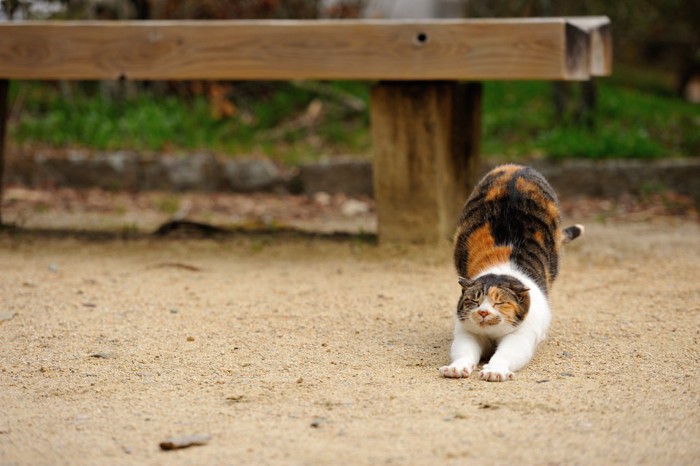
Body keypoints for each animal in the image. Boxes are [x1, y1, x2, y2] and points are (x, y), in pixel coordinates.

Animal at [440, 164, 584, 382]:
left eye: (499, 303)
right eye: (474, 301)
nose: (483, 312)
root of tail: (517, 167)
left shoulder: (521, 336)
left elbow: (506, 354)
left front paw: (495, 370)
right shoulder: (467, 332)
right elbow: (464, 351)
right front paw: (457, 368)